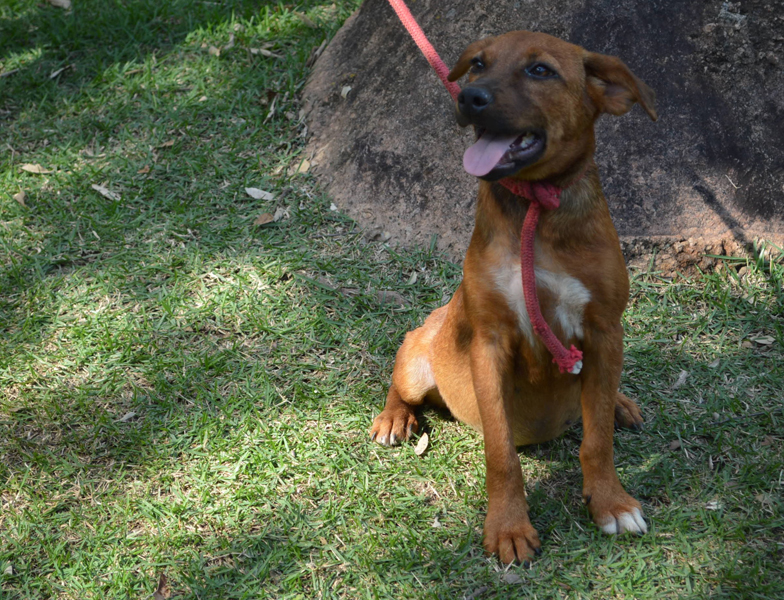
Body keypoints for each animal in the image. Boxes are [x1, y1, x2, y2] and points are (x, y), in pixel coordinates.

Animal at [368, 31, 656, 568]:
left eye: (540, 71)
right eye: (478, 64)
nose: (469, 97)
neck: (536, 211)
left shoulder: (605, 331)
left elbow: (597, 441)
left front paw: (610, 502)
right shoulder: (489, 346)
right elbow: (501, 454)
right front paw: (508, 528)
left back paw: (620, 404)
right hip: (417, 357)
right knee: (401, 386)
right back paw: (395, 418)